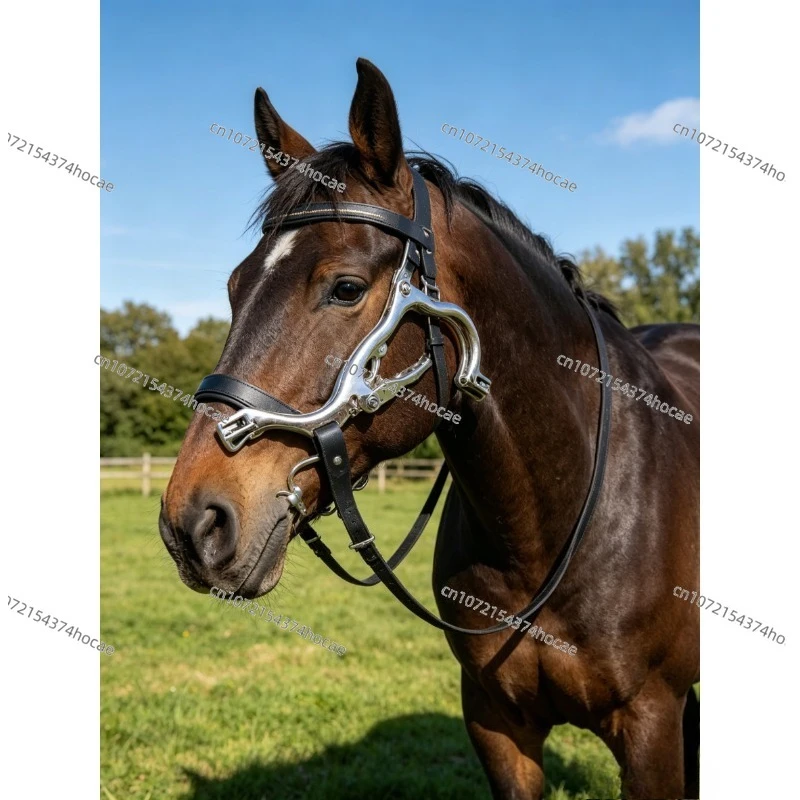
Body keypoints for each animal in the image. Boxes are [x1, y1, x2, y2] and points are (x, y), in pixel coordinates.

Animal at [159, 58, 700, 799]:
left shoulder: (650, 726)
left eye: (346, 288)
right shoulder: (498, 724)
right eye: (236, 287)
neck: (552, 525)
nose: (193, 522)